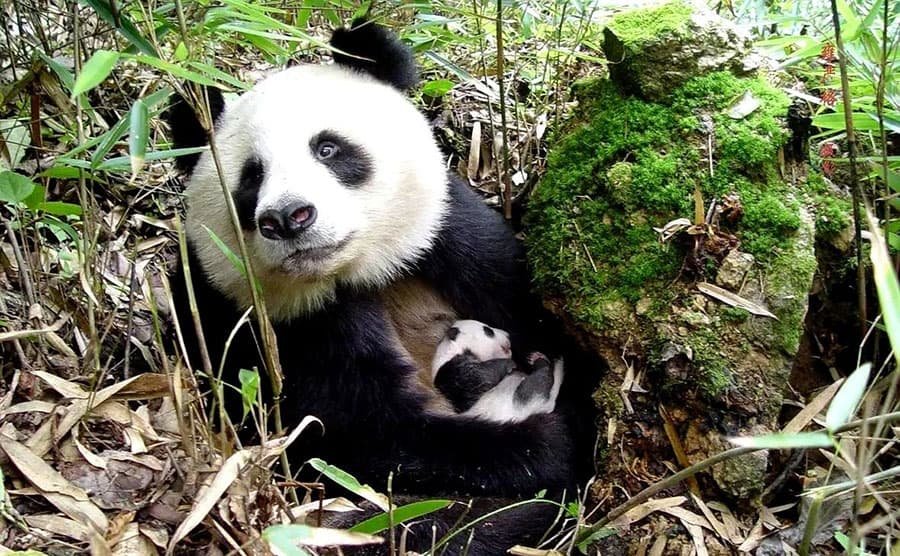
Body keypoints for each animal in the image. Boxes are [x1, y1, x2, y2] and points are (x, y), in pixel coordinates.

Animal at [432, 320, 565, 422]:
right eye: (488, 330)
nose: (508, 335)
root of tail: (546, 406)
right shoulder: (449, 372)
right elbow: (476, 377)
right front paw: (508, 364)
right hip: (519, 404)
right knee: (533, 387)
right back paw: (540, 364)